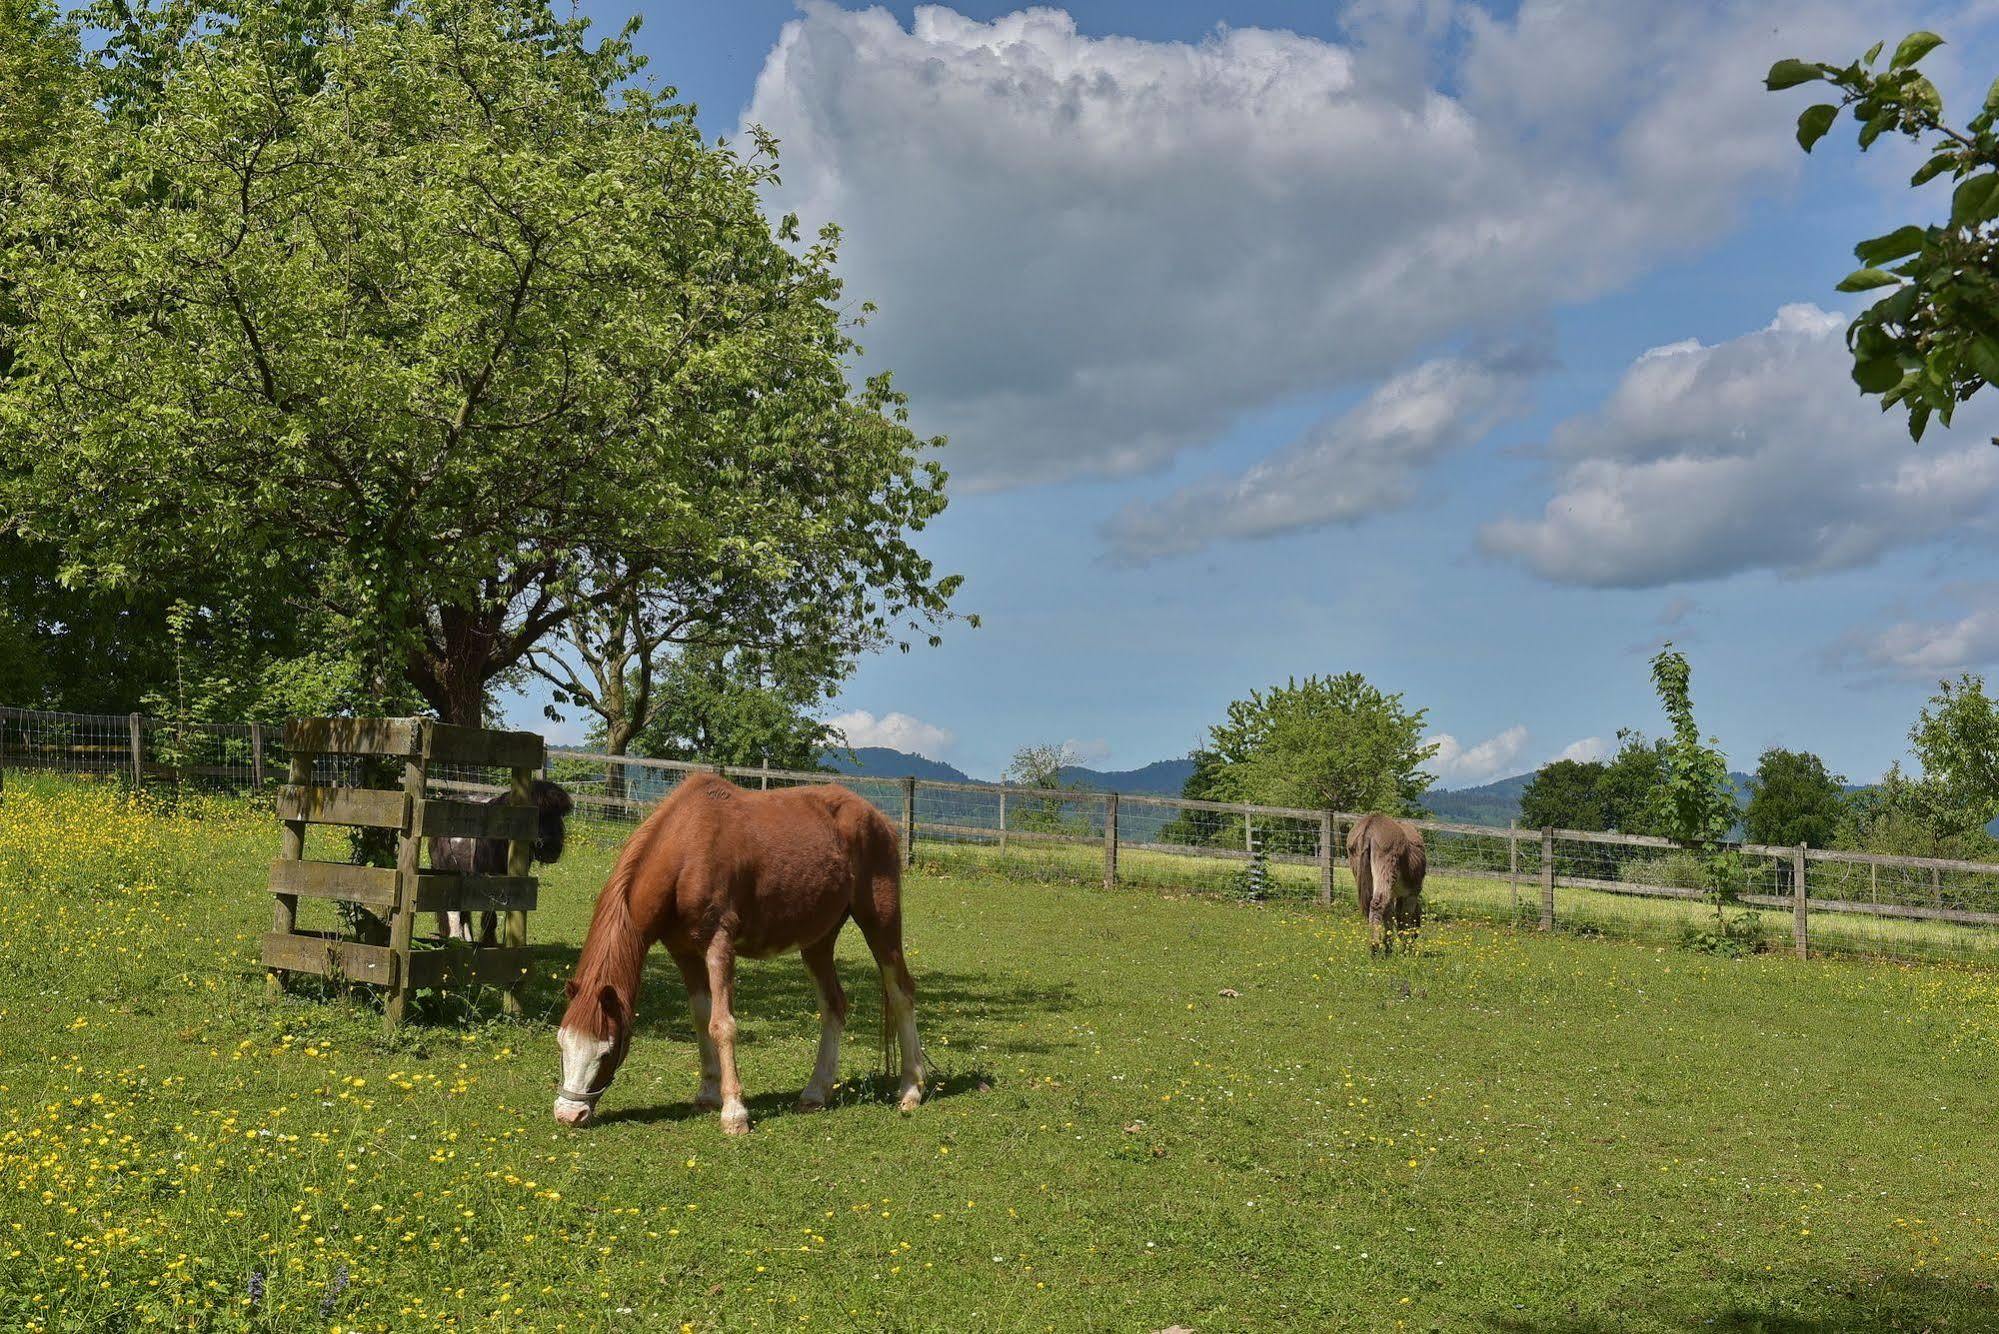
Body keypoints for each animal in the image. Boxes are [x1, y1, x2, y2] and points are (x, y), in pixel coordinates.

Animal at [547, 772, 919, 1136]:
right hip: (818, 941)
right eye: (563, 1044)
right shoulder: (684, 953)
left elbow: (722, 1024)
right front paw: (708, 1095)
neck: (685, 851)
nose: (569, 1115)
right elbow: (701, 1018)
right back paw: (816, 1092)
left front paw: (734, 1113)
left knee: (902, 992)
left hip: (880, 922)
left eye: (607, 1050)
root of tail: (880, 819)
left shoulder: (719, 945)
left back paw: (911, 1089)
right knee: (834, 1006)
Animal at [1351, 808, 1431, 956]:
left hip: (1359, 867)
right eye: (1417, 922)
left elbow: (1389, 917)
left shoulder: (1393, 893)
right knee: (1377, 904)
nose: (1415, 936)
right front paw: (1405, 950)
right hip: (1386, 865)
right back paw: (1375, 948)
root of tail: (1372, 822)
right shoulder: (1412, 894)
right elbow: (1404, 919)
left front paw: (1389, 948)